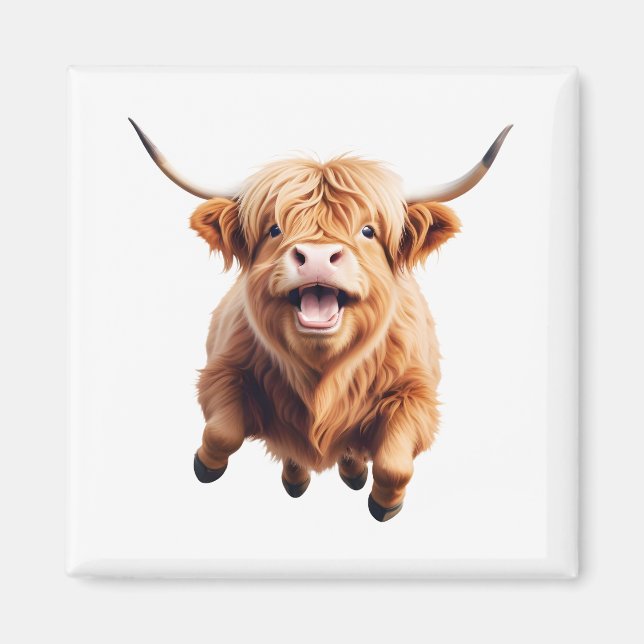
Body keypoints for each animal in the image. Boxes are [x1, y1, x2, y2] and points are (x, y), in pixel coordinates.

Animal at [130, 118, 511, 521]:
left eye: (368, 230)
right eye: (275, 229)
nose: (316, 257)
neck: (321, 374)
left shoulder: (416, 394)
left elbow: (394, 464)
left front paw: (384, 503)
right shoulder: (224, 370)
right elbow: (223, 432)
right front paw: (206, 465)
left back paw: (353, 473)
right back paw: (296, 480)